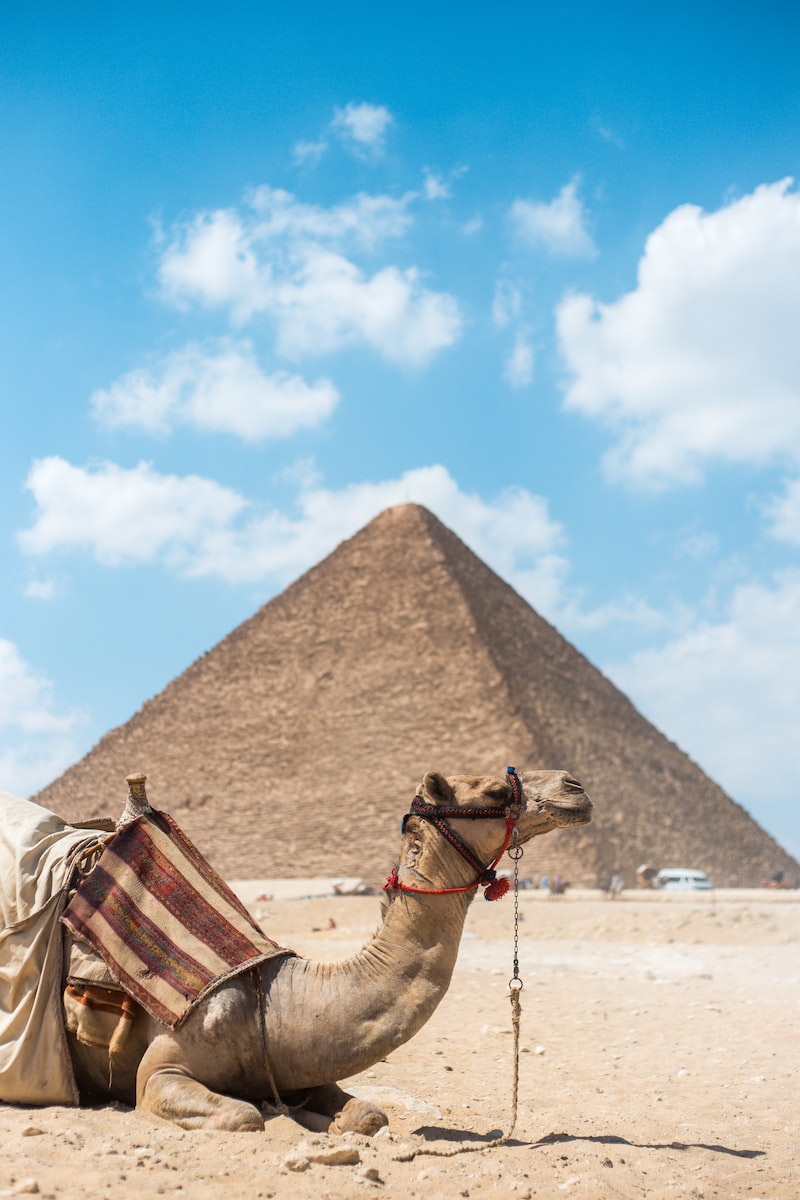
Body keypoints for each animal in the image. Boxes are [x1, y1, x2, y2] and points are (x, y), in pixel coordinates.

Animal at [6, 767, 592, 1135]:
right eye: (493, 792)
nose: (576, 787)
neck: (269, 1003)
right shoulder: (160, 1073)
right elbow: (243, 1116)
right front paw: (277, 1114)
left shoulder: (304, 1064)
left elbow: (370, 1116)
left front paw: (316, 1117)